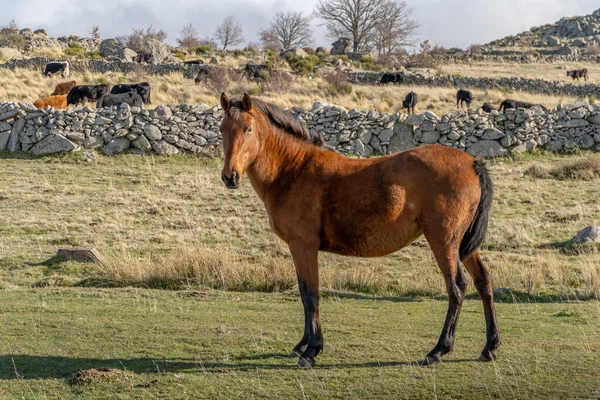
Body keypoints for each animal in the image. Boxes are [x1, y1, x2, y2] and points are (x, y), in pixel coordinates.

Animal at [218, 92, 500, 368]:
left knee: (457, 287)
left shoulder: (303, 246)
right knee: (483, 282)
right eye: (223, 129)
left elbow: (310, 294)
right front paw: (303, 344)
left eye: (248, 129)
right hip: (463, 246)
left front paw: (311, 350)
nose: (229, 177)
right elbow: (304, 292)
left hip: (444, 242)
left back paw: (439, 349)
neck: (294, 170)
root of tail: (472, 162)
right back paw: (489, 346)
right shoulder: (299, 248)